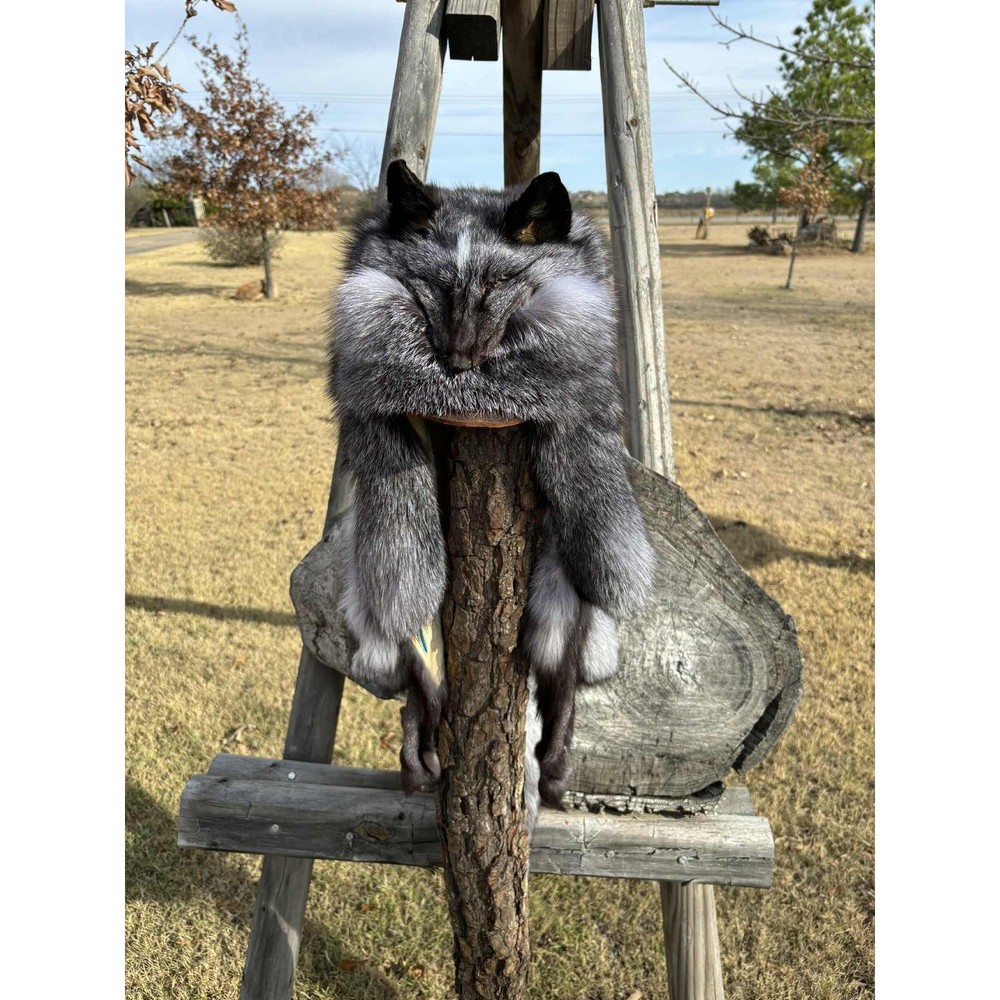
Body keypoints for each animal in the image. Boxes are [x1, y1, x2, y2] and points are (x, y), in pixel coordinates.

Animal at [327, 160, 654, 827]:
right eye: (432, 283)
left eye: (504, 280)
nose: (457, 362)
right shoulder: (379, 411)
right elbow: (385, 443)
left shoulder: (577, 401)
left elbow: (581, 435)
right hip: (396, 627)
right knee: (417, 689)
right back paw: (419, 762)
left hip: (558, 599)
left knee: (560, 688)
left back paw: (553, 770)